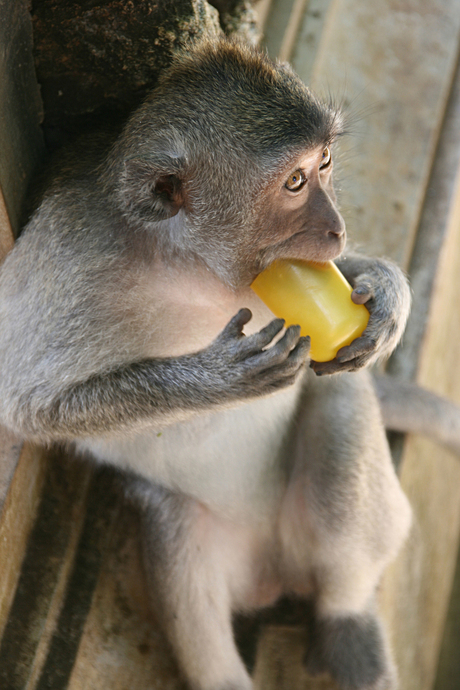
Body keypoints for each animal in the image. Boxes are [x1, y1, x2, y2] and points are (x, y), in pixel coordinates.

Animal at [0, 39, 414, 688]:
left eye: (324, 162)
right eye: (296, 181)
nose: (338, 228)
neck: (183, 261)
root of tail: (272, 570)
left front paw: (387, 293)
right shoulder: (64, 255)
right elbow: (24, 404)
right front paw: (216, 381)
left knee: (340, 403)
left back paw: (349, 622)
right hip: (206, 534)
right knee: (175, 536)